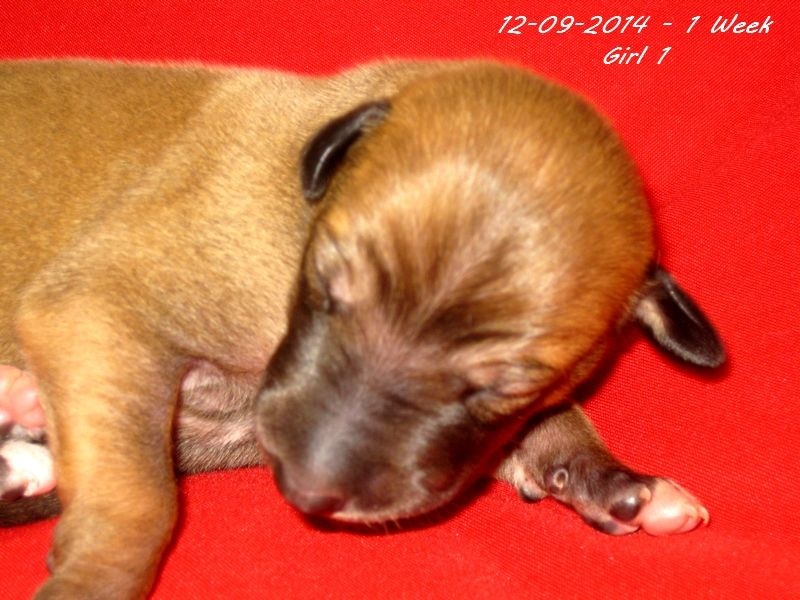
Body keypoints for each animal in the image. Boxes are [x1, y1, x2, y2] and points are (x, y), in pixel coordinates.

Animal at [0, 59, 724, 599]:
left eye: (499, 388)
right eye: (327, 288)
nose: (306, 488)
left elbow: (549, 422)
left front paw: (614, 480)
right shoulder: (98, 302)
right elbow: (140, 501)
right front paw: (94, 579)